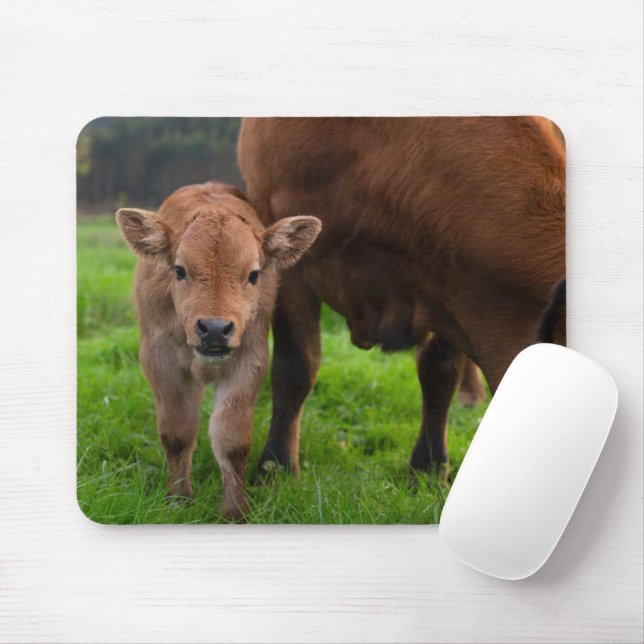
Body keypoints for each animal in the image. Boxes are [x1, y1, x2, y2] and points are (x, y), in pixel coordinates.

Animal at [115, 181, 321, 520]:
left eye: (253, 274)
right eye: (179, 270)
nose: (213, 328)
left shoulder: (250, 359)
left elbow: (232, 439)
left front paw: (235, 511)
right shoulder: (159, 360)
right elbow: (177, 432)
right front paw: (178, 500)